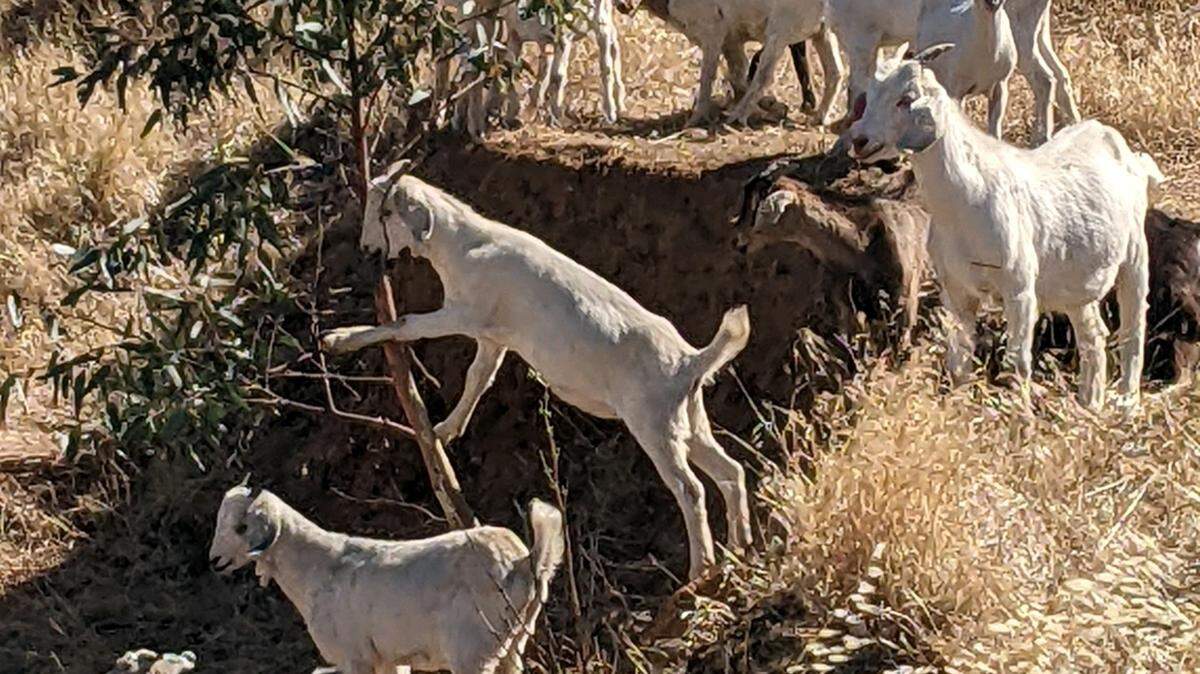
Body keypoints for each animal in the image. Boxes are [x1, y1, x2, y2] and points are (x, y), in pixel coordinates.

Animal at [209, 484, 565, 674]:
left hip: (473, 650)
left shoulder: (356, 657)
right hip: (511, 647)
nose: (215, 561)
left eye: (241, 527)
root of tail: (525, 562)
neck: (319, 567)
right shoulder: (390, 659)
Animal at [321, 166, 752, 580]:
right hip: (691, 423)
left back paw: (700, 569)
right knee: (731, 472)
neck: (465, 246)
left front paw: (337, 339)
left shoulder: (463, 313)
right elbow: (479, 377)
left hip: (655, 427)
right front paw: (444, 431)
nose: (367, 250)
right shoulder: (493, 337)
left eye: (385, 213)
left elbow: (405, 325)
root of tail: (689, 362)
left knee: (691, 490)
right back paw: (740, 547)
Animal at [616, 0, 843, 127]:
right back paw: (819, 117)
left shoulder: (713, 33)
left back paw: (737, 117)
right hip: (822, 33)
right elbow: (736, 75)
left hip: (780, 33)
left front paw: (695, 119)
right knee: (835, 72)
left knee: (764, 76)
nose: (623, 5)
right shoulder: (731, 41)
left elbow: (708, 77)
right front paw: (771, 106)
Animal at [847, 45, 1162, 407]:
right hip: (1076, 288)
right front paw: (960, 408)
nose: (860, 140)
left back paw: (1127, 404)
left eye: (906, 98)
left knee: (1132, 329)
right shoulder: (956, 292)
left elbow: (1017, 363)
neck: (966, 200)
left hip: (1135, 257)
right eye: (870, 95)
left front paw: (1020, 416)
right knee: (1094, 336)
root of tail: (1115, 142)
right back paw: (1089, 404)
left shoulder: (1019, 289)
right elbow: (959, 360)